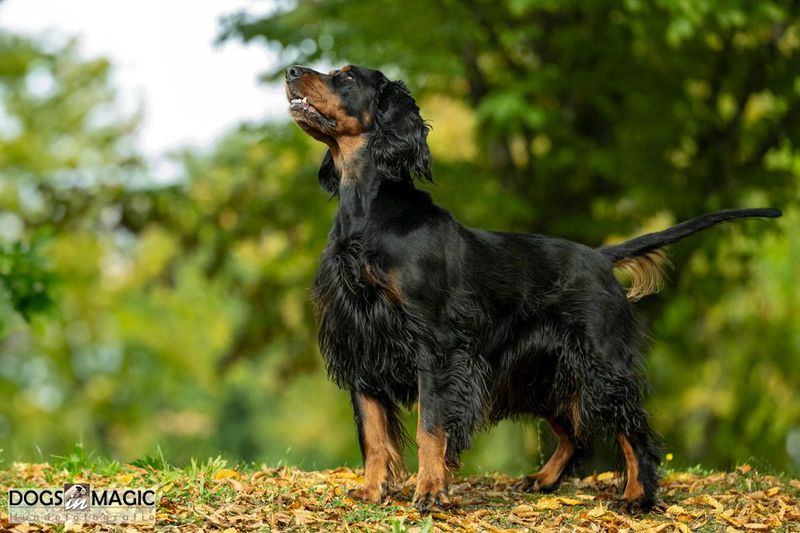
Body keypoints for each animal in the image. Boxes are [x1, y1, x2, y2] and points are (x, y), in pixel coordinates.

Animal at [284, 63, 781, 511]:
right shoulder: (360, 341)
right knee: (576, 433)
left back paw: (638, 496)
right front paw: (372, 493)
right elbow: (372, 434)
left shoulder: (436, 346)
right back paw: (544, 480)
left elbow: (431, 426)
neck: (369, 214)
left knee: (633, 427)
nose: (291, 72)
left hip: (599, 362)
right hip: (541, 373)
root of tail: (600, 257)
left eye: (346, 76)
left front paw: (430, 493)